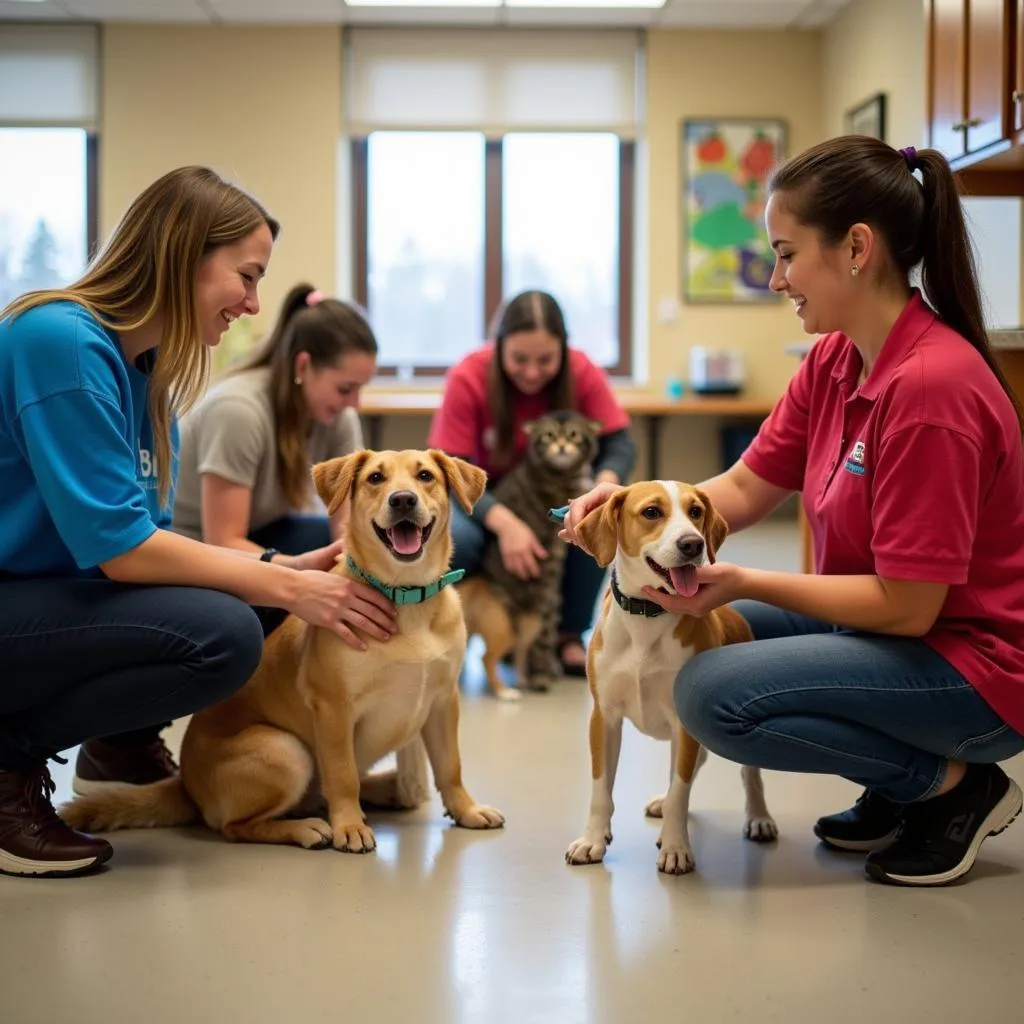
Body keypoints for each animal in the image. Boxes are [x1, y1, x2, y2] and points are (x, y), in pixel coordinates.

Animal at [61, 452, 505, 851]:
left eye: (425, 476)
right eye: (376, 478)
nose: (402, 500)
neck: (407, 597)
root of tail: (186, 784)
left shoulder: (443, 701)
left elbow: (450, 766)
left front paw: (465, 810)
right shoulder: (333, 708)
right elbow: (343, 775)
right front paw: (349, 826)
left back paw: (390, 789)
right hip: (286, 751)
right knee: (236, 828)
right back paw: (308, 828)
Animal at [460, 411, 602, 700]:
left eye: (574, 435)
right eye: (548, 435)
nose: (561, 445)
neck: (559, 475)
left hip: (527, 624)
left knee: (521, 652)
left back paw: (525, 680)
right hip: (508, 628)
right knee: (490, 658)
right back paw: (515, 688)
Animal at [565, 479, 770, 872]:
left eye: (696, 512)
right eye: (651, 512)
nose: (693, 543)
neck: (647, 617)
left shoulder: (682, 723)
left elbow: (681, 791)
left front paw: (676, 847)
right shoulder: (604, 718)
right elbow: (601, 790)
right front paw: (593, 839)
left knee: (748, 775)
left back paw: (759, 817)